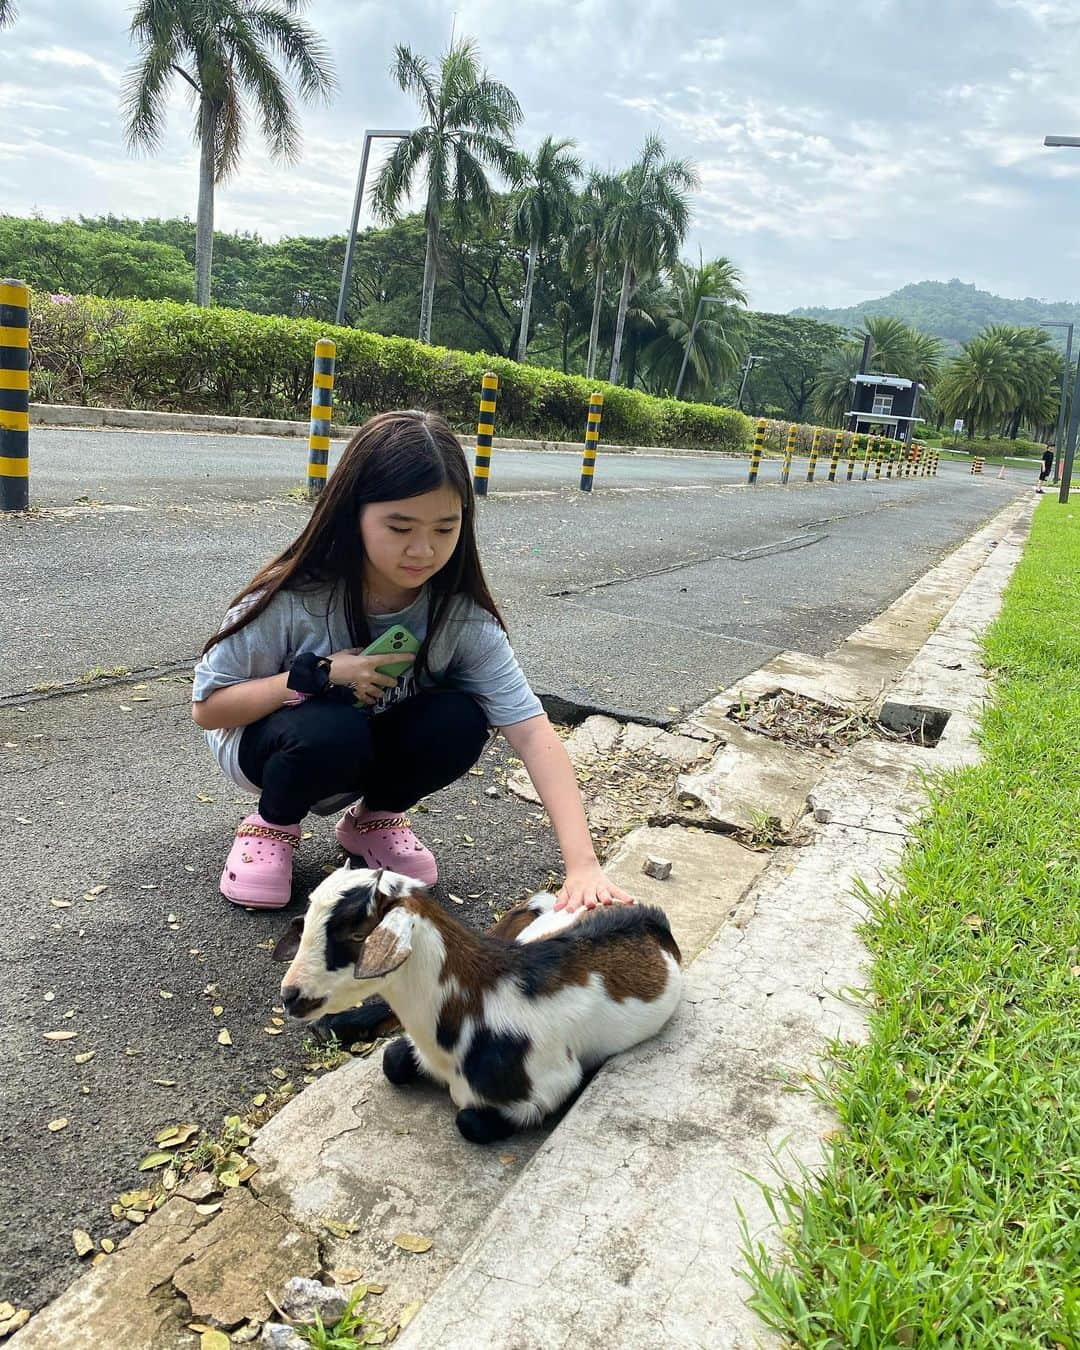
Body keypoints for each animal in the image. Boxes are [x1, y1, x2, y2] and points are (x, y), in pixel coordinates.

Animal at [278, 869, 683, 1144]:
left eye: (356, 933)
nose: (290, 994)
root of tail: (651, 916)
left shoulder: (547, 1090)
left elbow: (468, 1121)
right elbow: (391, 1061)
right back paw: (334, 1024)